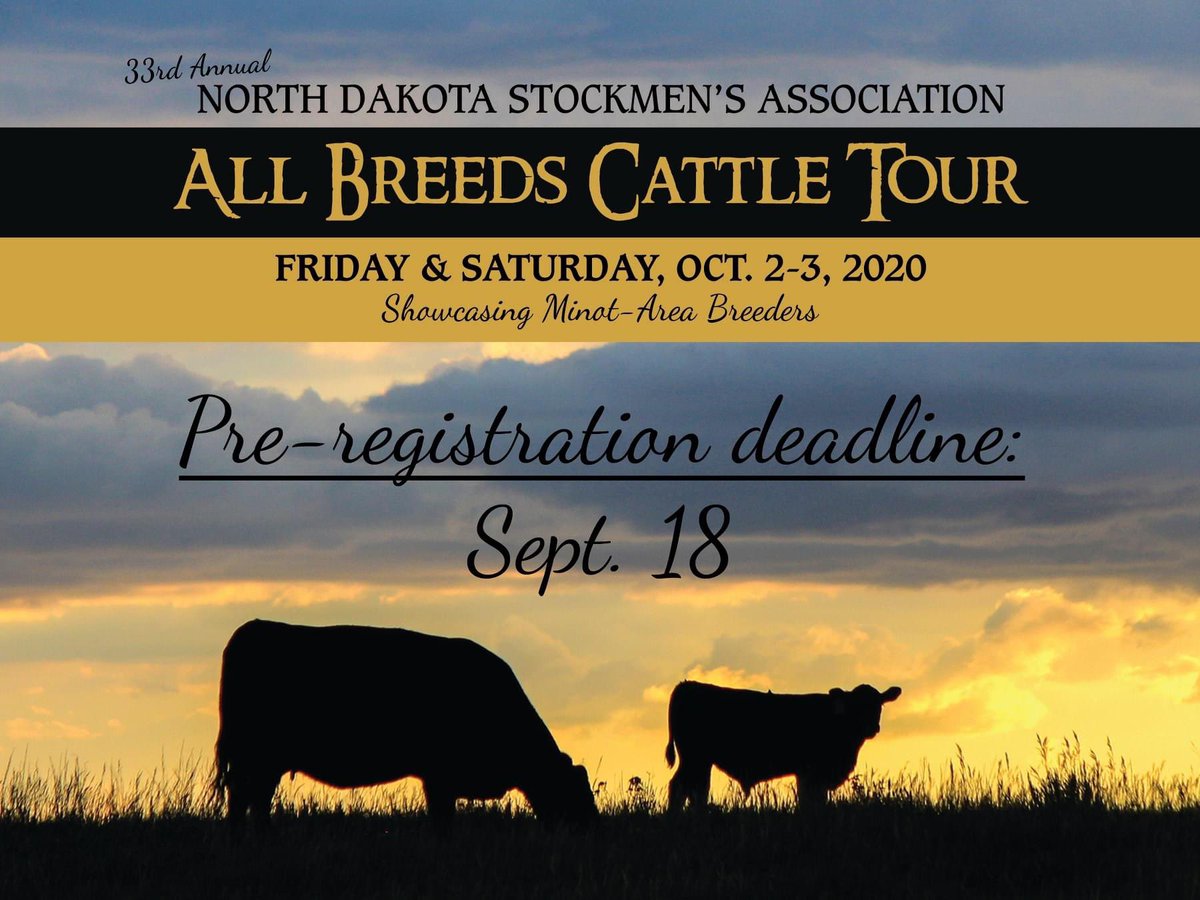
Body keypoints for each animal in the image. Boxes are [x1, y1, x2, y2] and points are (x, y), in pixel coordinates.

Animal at [215, 619, 596, 828]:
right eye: (575, 793)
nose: (590, 827)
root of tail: (251, 628)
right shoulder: (440, 777)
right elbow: (442, 821)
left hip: (262, 760)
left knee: (248, 798)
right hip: (258, 756)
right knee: (247, 798)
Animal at [664, 680, 901, 811]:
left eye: (878, 705)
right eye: (856, 706)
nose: (872, 727)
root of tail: (687, 685)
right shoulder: (812, 772)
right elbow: (811, 800)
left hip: (700, 761)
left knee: (696, 789)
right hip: (695, 758)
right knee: (682, 787)